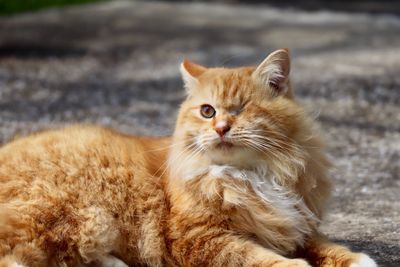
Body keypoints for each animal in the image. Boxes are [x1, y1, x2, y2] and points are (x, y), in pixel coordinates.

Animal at [0, 49, 376, 266]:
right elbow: (257, 257)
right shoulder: (200, 238)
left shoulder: (294, 219)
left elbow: (323, 245)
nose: (222, 128)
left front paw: (354, 259)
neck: (249, 176)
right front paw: (295, 265)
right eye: (208, 111)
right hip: (76, 216)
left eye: (241, 109)